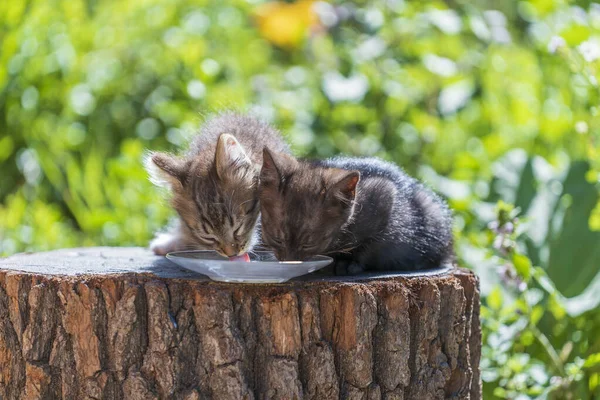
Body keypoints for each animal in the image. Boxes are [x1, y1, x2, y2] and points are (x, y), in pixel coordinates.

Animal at [258, 148, 454, 274]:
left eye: (309, 244)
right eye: (276, 239)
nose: (289, 263)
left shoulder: (385, 194)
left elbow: (374, 244)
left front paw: (349, 263)